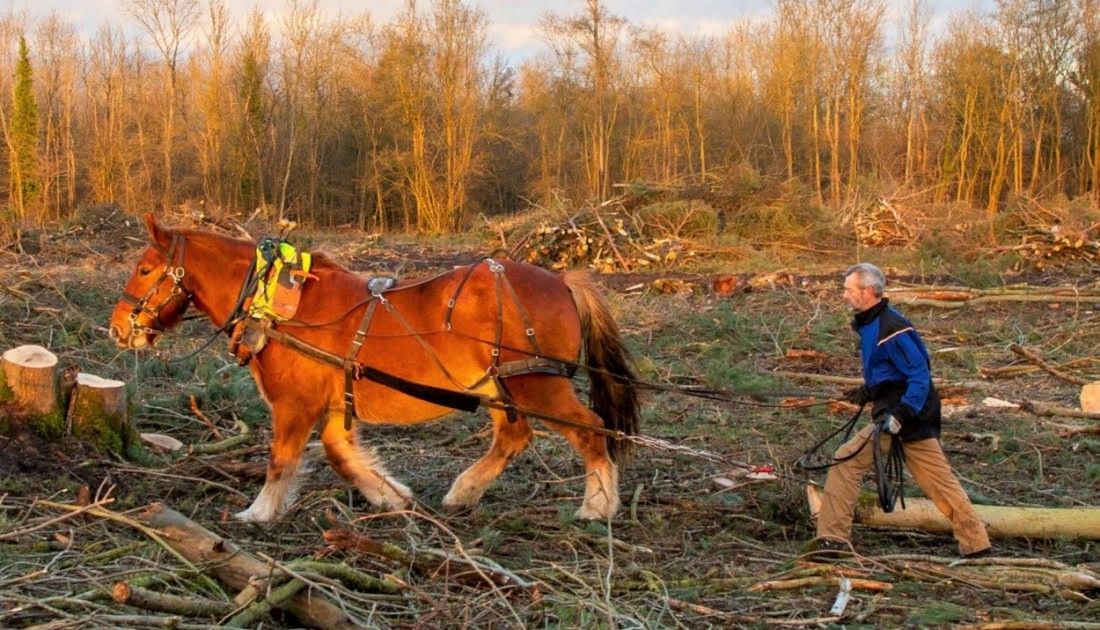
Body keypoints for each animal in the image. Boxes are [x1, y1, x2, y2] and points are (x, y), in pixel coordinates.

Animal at [109, 214, 640, 522]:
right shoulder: (333, 404)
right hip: (499, 387)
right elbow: (341, 455)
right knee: (514, 435)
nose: (116, 328)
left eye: (145, 269)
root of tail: (562, 280)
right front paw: (390, 496)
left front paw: (257, 513)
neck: (278, 306)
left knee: (592, 429)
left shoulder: (294, 405)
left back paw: (597, 505)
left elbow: (281, 460)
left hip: (536, 384)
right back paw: (463, 493)